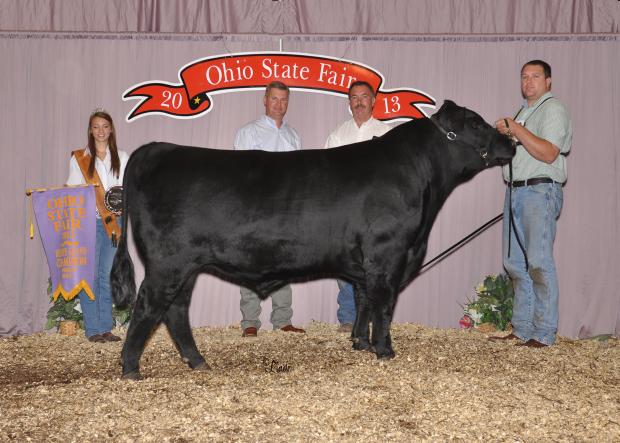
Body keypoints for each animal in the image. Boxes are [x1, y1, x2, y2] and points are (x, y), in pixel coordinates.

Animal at [110, 101, 512, 382]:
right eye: (476, 123)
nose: (509, 141)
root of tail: (158, 148)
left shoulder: (366, 263)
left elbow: (364, 301)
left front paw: (359, 343)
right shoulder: (388, 253)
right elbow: (383, 306)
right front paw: (384, 351)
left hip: (187, 265)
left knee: (176, 310)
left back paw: (198, 362)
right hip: (170, 262)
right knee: (149, 306)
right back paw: (130, 368)